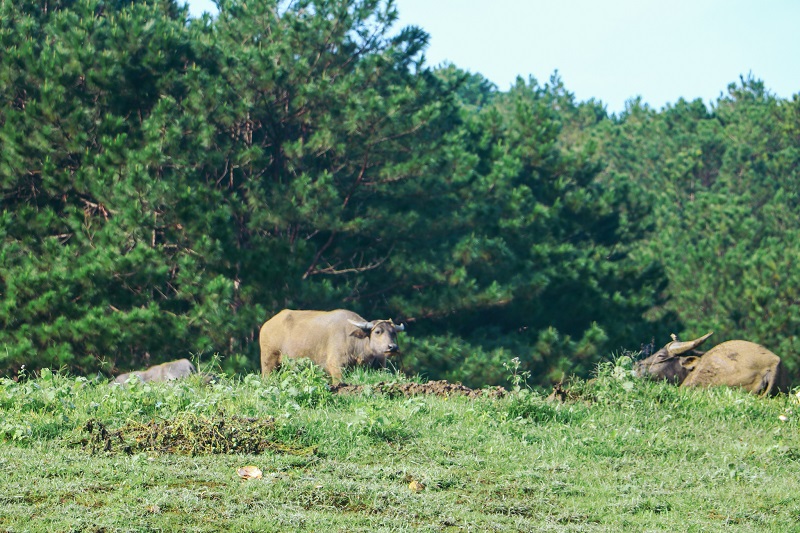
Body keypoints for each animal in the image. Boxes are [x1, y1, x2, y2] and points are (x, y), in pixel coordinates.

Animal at [260, 306, 404, 380]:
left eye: (394, 333)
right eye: (378, 331)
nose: (392, 347)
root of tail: (266, 326)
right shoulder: (335, 366)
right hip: (268, 362)